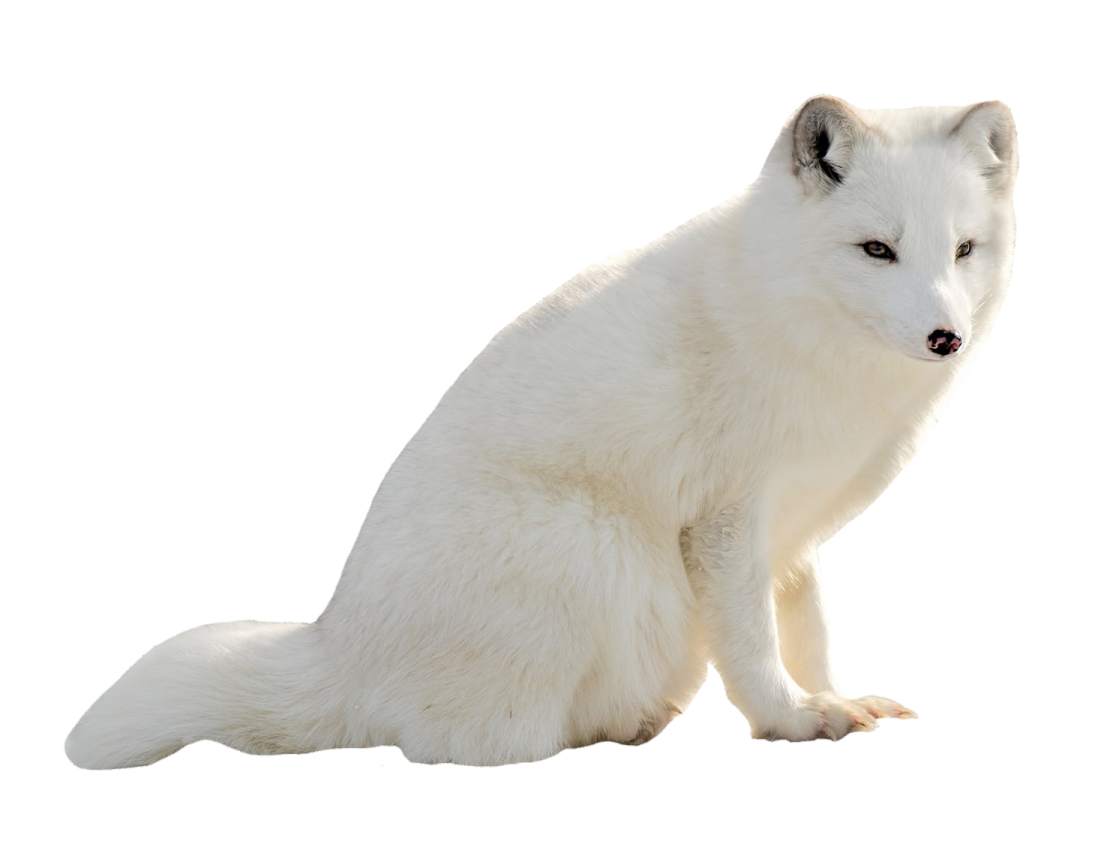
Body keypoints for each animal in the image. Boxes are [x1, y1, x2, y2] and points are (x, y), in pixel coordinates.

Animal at [65, 95, 1018, 768]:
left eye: (962, 250)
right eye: (876, 250)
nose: (945, 337)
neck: (798, 330)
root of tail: (341, 647)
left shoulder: (792, 532)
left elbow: (808, 628)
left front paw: (835, 699)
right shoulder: (723, 520)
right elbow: (752, 643)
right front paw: (788, 720)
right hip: (596, 549)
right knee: (452, 747)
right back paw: (603, 730)